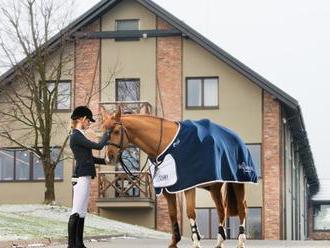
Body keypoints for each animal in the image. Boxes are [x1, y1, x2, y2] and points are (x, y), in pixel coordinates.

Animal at [100, 108, 255, 248]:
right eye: (102, 131)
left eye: (116, 131)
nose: (109, 158)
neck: (164, 144)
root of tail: (237, 138)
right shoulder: (167, 188)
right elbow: (173, 214)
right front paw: (174, 242)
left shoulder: (188, 185)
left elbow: (190, 212)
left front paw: (196, 242)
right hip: (214, 187)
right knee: (221, 210)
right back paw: (219, 242)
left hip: (238, 182)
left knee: (242, 208)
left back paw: (241, 241)